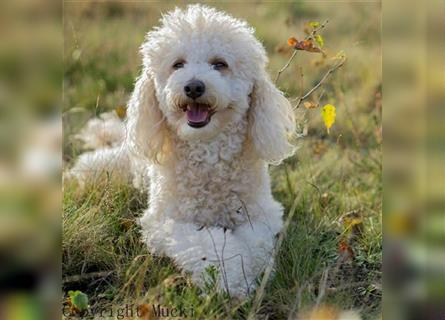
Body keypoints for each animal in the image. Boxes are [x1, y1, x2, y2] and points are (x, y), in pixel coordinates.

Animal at [70, 4, 294, 298]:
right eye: (178, 64)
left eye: (219, 64)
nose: (193, 86)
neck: (207, 150)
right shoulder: (164, 222)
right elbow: (209, 243)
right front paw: (230, 277)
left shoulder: (262, 214)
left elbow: (254, 242)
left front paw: (252, 270)